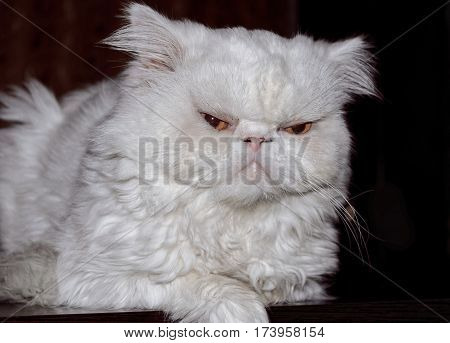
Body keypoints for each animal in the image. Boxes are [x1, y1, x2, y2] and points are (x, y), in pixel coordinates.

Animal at [0, 4, 376, 324]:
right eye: (215, 121)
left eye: (297, 129)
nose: (257, 138)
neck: (229, 224)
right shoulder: (95, 276)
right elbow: (201, 282)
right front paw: (244, 312)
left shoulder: (305, 284)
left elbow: (275, 282)